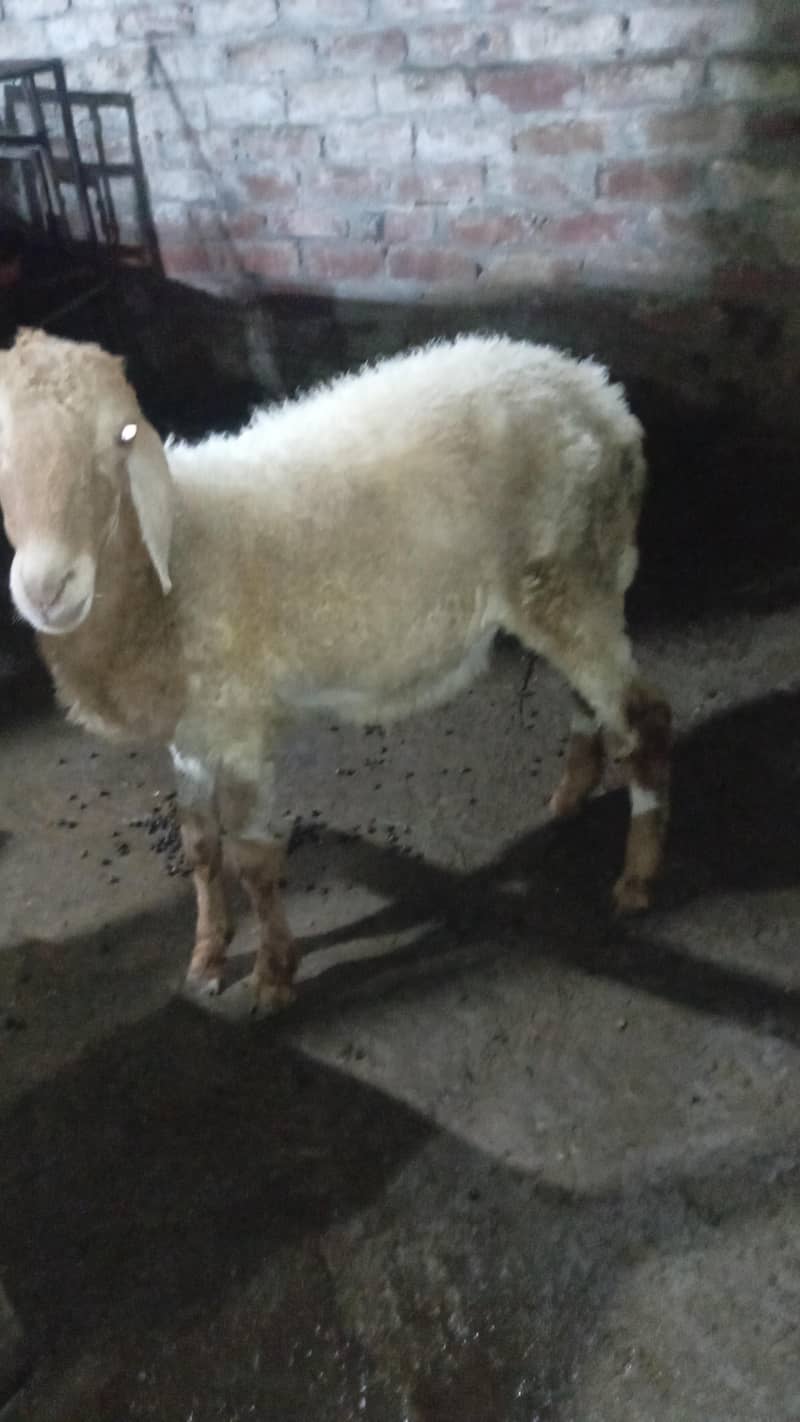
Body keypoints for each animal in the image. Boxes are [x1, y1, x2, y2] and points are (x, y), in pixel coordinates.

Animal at [0, 327, 671, 1010]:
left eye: (120, 439)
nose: (47, 588)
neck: (175, 564)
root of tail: (597, 395)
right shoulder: (192, 733)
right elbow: (199, 844)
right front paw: (208, 956)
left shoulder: (240, 727)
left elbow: (252, 859)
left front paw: (273, 974)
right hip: (569, 584)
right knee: (588, 698)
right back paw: (573, 790)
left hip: (566, 578)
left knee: (645, 716)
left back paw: (637, 878)